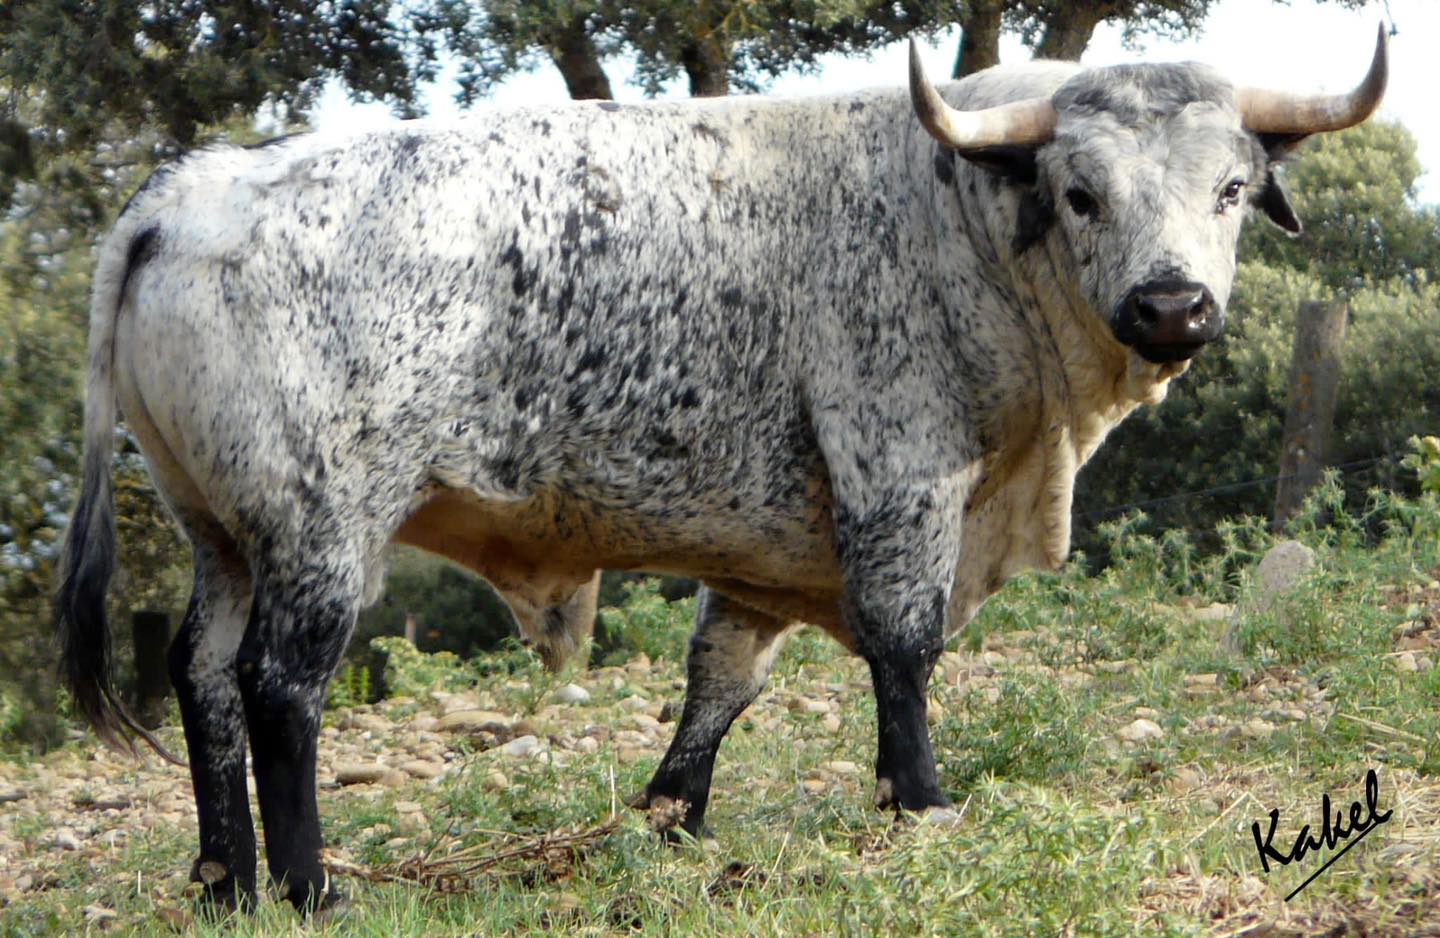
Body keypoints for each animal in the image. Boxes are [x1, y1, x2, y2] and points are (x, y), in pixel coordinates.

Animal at [53, 25, 1382, 916]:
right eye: (1082, 188)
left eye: (1231, 188)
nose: (1173, 305)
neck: (953, 206)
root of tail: (185, 193)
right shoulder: (899, 474)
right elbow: (903, 644)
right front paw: (919, 798)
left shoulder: (768, 542)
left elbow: (721, 677)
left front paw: (671, 817)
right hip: (321, 526)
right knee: (280, 686)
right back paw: (310, 882)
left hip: (221, 530)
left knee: (202, 676)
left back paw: (222, 877)